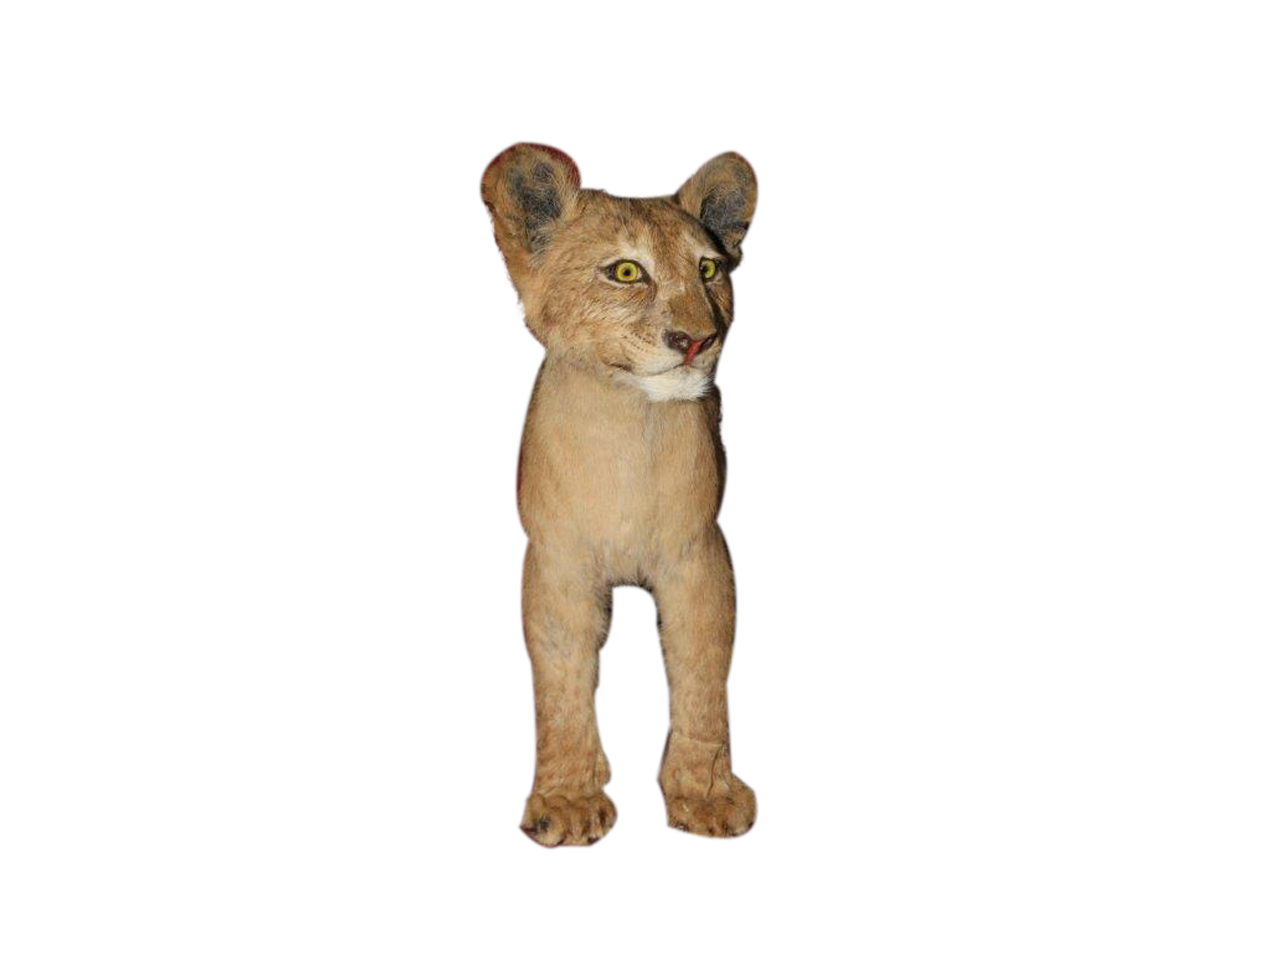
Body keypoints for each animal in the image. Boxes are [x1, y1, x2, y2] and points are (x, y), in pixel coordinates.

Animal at [479, 141, 759, 845]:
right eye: (627, 272)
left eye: (708, 268)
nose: (697, 340)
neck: (632, 427)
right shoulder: (557, 563)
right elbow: (561, 682)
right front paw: (568, 801)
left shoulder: (698, 556)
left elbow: (704, 672)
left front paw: (706, 795)